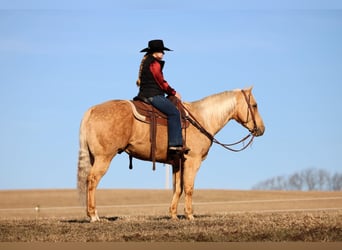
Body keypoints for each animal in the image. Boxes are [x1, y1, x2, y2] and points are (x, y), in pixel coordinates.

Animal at [77, 87, 264, 222]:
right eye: (255, 105)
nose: (262, 129)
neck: (202, 119)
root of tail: (92, 110)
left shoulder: (177, 163)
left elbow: (178, 188)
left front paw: (173, 215)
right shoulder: (192, 161)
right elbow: (189, 188)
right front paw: (190, 215)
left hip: (95, 158)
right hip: (104, 158)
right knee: (92, 180)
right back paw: (94, 215)